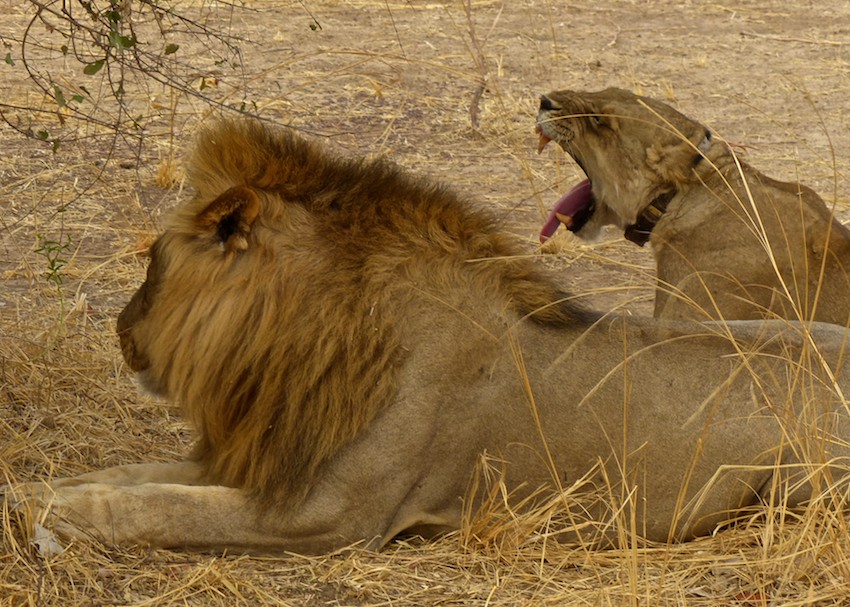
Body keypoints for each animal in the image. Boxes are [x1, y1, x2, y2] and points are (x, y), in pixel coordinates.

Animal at [7, 119, 850, 556]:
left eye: (152, 261)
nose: (120, 331)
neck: (312, 334)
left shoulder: (333, 516)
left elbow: (153, 507)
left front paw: (47, 517)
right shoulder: (265, 459)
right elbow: (125, 474)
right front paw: (33, 492)